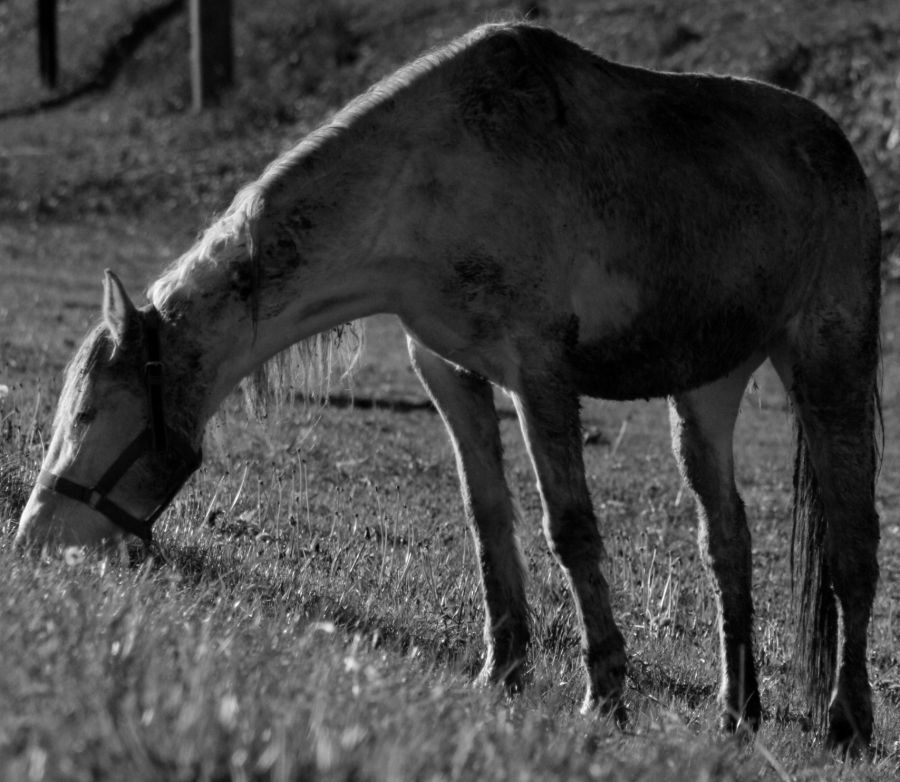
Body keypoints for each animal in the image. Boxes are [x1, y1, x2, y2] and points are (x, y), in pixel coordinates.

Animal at [14, 19, 884, 752]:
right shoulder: (449, 371)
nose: (33, 541)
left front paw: (604, 695)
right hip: (706, 389)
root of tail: (840, 149)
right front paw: (503, 671)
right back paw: (739, 713)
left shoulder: (539, 372)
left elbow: (569, 528)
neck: (432, 173)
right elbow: (486, 516)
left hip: (827, 366)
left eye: (89, 412)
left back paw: (848, 721)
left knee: (852, 548)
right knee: (726, 539)